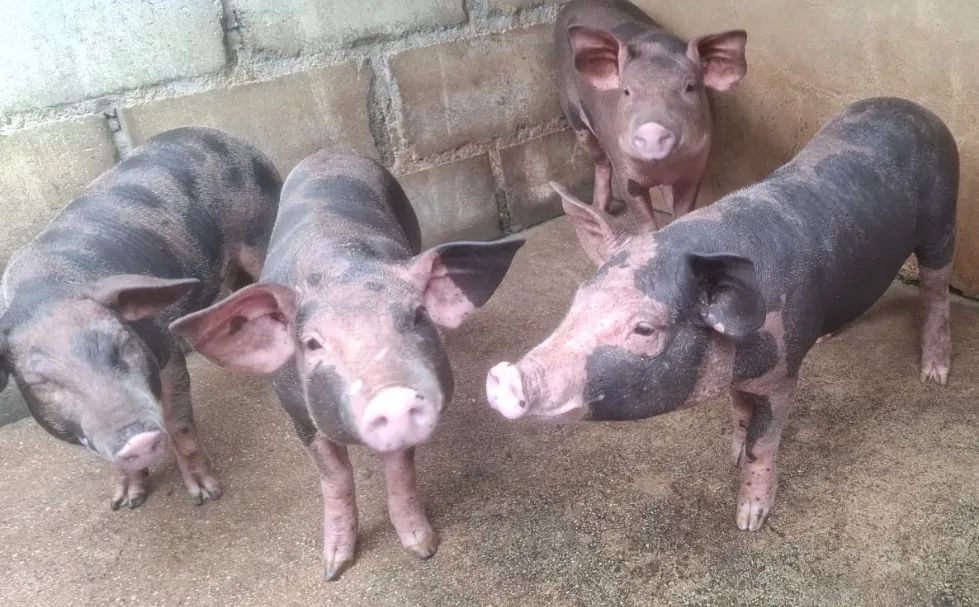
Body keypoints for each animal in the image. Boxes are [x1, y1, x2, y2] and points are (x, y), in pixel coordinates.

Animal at [0, 127, 281, 510]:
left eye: (121, 345)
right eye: (40, 382)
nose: (137, 440)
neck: (46, 292)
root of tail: (222, 135)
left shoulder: (167, 352)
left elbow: (179, 425)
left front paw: (206, 495)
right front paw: (126, 502)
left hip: (262, 228)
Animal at [169, 150, 523, 580]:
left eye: (418, 315)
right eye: (312, 343)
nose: (392, 396)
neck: (341, 265)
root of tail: (329, 152)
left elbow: (400, 473)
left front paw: (423, 548)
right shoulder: (299, 415)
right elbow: (336, 479)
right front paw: (334, 569)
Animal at [487, 97, 957, 532]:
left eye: (644, 329)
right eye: (578, 299)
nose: (503, 376)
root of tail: (917, 109)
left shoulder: (782, 370)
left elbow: (764, 444)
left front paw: (749, 521)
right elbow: (739, 409)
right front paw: (730, 455)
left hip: (943, 222)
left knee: (936, 291)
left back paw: (934, 375)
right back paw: (827, 338)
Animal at [557, 0, 747, 237]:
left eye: (689, 87)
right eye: (626, 91)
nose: (652, 130)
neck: (662, 167)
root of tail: (571, 5)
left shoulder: (694, 170)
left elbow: (684, 209)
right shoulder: (625, 169)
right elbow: (643, 217)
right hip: (575, 116)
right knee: (601, 161)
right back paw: (600, 208)